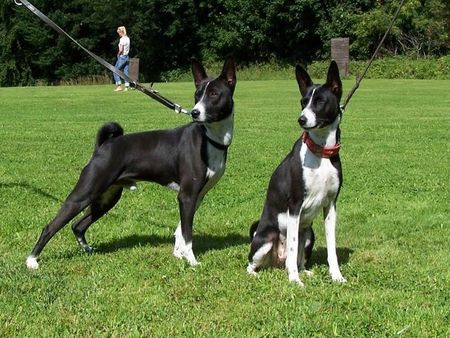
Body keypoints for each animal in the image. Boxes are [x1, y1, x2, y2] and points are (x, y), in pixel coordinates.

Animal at [25, 57, 237, 270]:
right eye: (197, 95)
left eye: (214, 94)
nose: (195, 112)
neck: (209, 137)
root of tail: (103, 146)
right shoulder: (187, 196)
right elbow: (187, 234)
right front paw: (192, 260)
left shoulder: (197, 196)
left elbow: (180, 230)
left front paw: (178, 254)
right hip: (84, 194)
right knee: (51, 226)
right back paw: (32, 260)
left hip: (107, 197)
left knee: (78, 225)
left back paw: (87, 249)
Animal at [248, 61, 346, 286]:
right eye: (303, 102)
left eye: (320, 102)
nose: (301, 119)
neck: (321, 153)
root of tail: (275, 263)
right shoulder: (294, 206)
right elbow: (292, 248)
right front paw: (294, 281)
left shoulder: (331, 205)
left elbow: (332, 247)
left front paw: (336, 275)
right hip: (266, 239)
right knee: (255, 262)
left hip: (309, 234)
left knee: (297, 258)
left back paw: (304, 271)